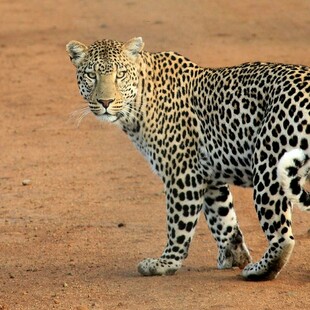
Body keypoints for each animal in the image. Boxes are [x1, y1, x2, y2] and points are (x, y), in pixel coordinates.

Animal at [66, 37, 310, 280]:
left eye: (121, 74)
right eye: (91, 75)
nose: (105, 102)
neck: (139, 103)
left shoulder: (182, 174)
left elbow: (179, 224)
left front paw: (165, 263)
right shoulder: (210, 177)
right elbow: (223, 218)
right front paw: (234, 256)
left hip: (268, 165)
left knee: (283, 237)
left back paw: (259, 270)